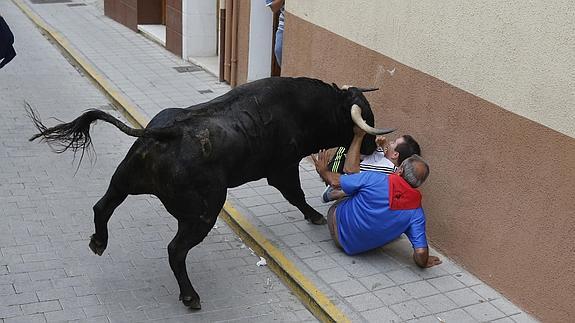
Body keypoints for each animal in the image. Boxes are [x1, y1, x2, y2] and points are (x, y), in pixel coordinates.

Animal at [28, 77, 396, 310]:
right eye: (364, 121)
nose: (371, 147)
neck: (307, 107)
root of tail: (166, 132)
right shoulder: (282, 168)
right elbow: (296, 194)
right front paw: (315, 216)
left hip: (125, 180)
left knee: (102, 206)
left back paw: (98, 242)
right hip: (204, 212)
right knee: (175, 250)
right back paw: (191, 297)